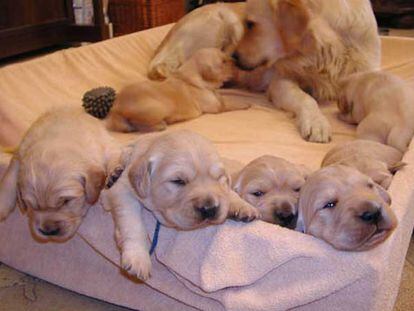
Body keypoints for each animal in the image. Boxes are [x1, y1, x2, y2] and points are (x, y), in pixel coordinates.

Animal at [0, 108, 119, 243]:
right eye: (31, 206)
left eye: (66, 201)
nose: (48, 231)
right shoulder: (21, 152)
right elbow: (10, 174)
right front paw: (3, 203)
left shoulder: (106, 144)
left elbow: (115, 153)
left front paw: (114, 174)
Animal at [102, 130, 258, 282]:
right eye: (178, 181)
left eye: (219, 178)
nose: (209, 209)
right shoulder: (123, 190)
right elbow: (133, 224)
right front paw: (138, 258)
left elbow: (228, 192)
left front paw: (242, 205)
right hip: (124, 153)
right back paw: (114, 173)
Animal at [105, 48, 251, 133]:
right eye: (223, 62)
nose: (236, 61)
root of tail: (115, 109)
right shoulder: (217, 107)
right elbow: (231, 103)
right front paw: (244, 104)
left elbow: (224, 99)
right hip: (159, 108)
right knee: (138, 124)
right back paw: (161, 124)